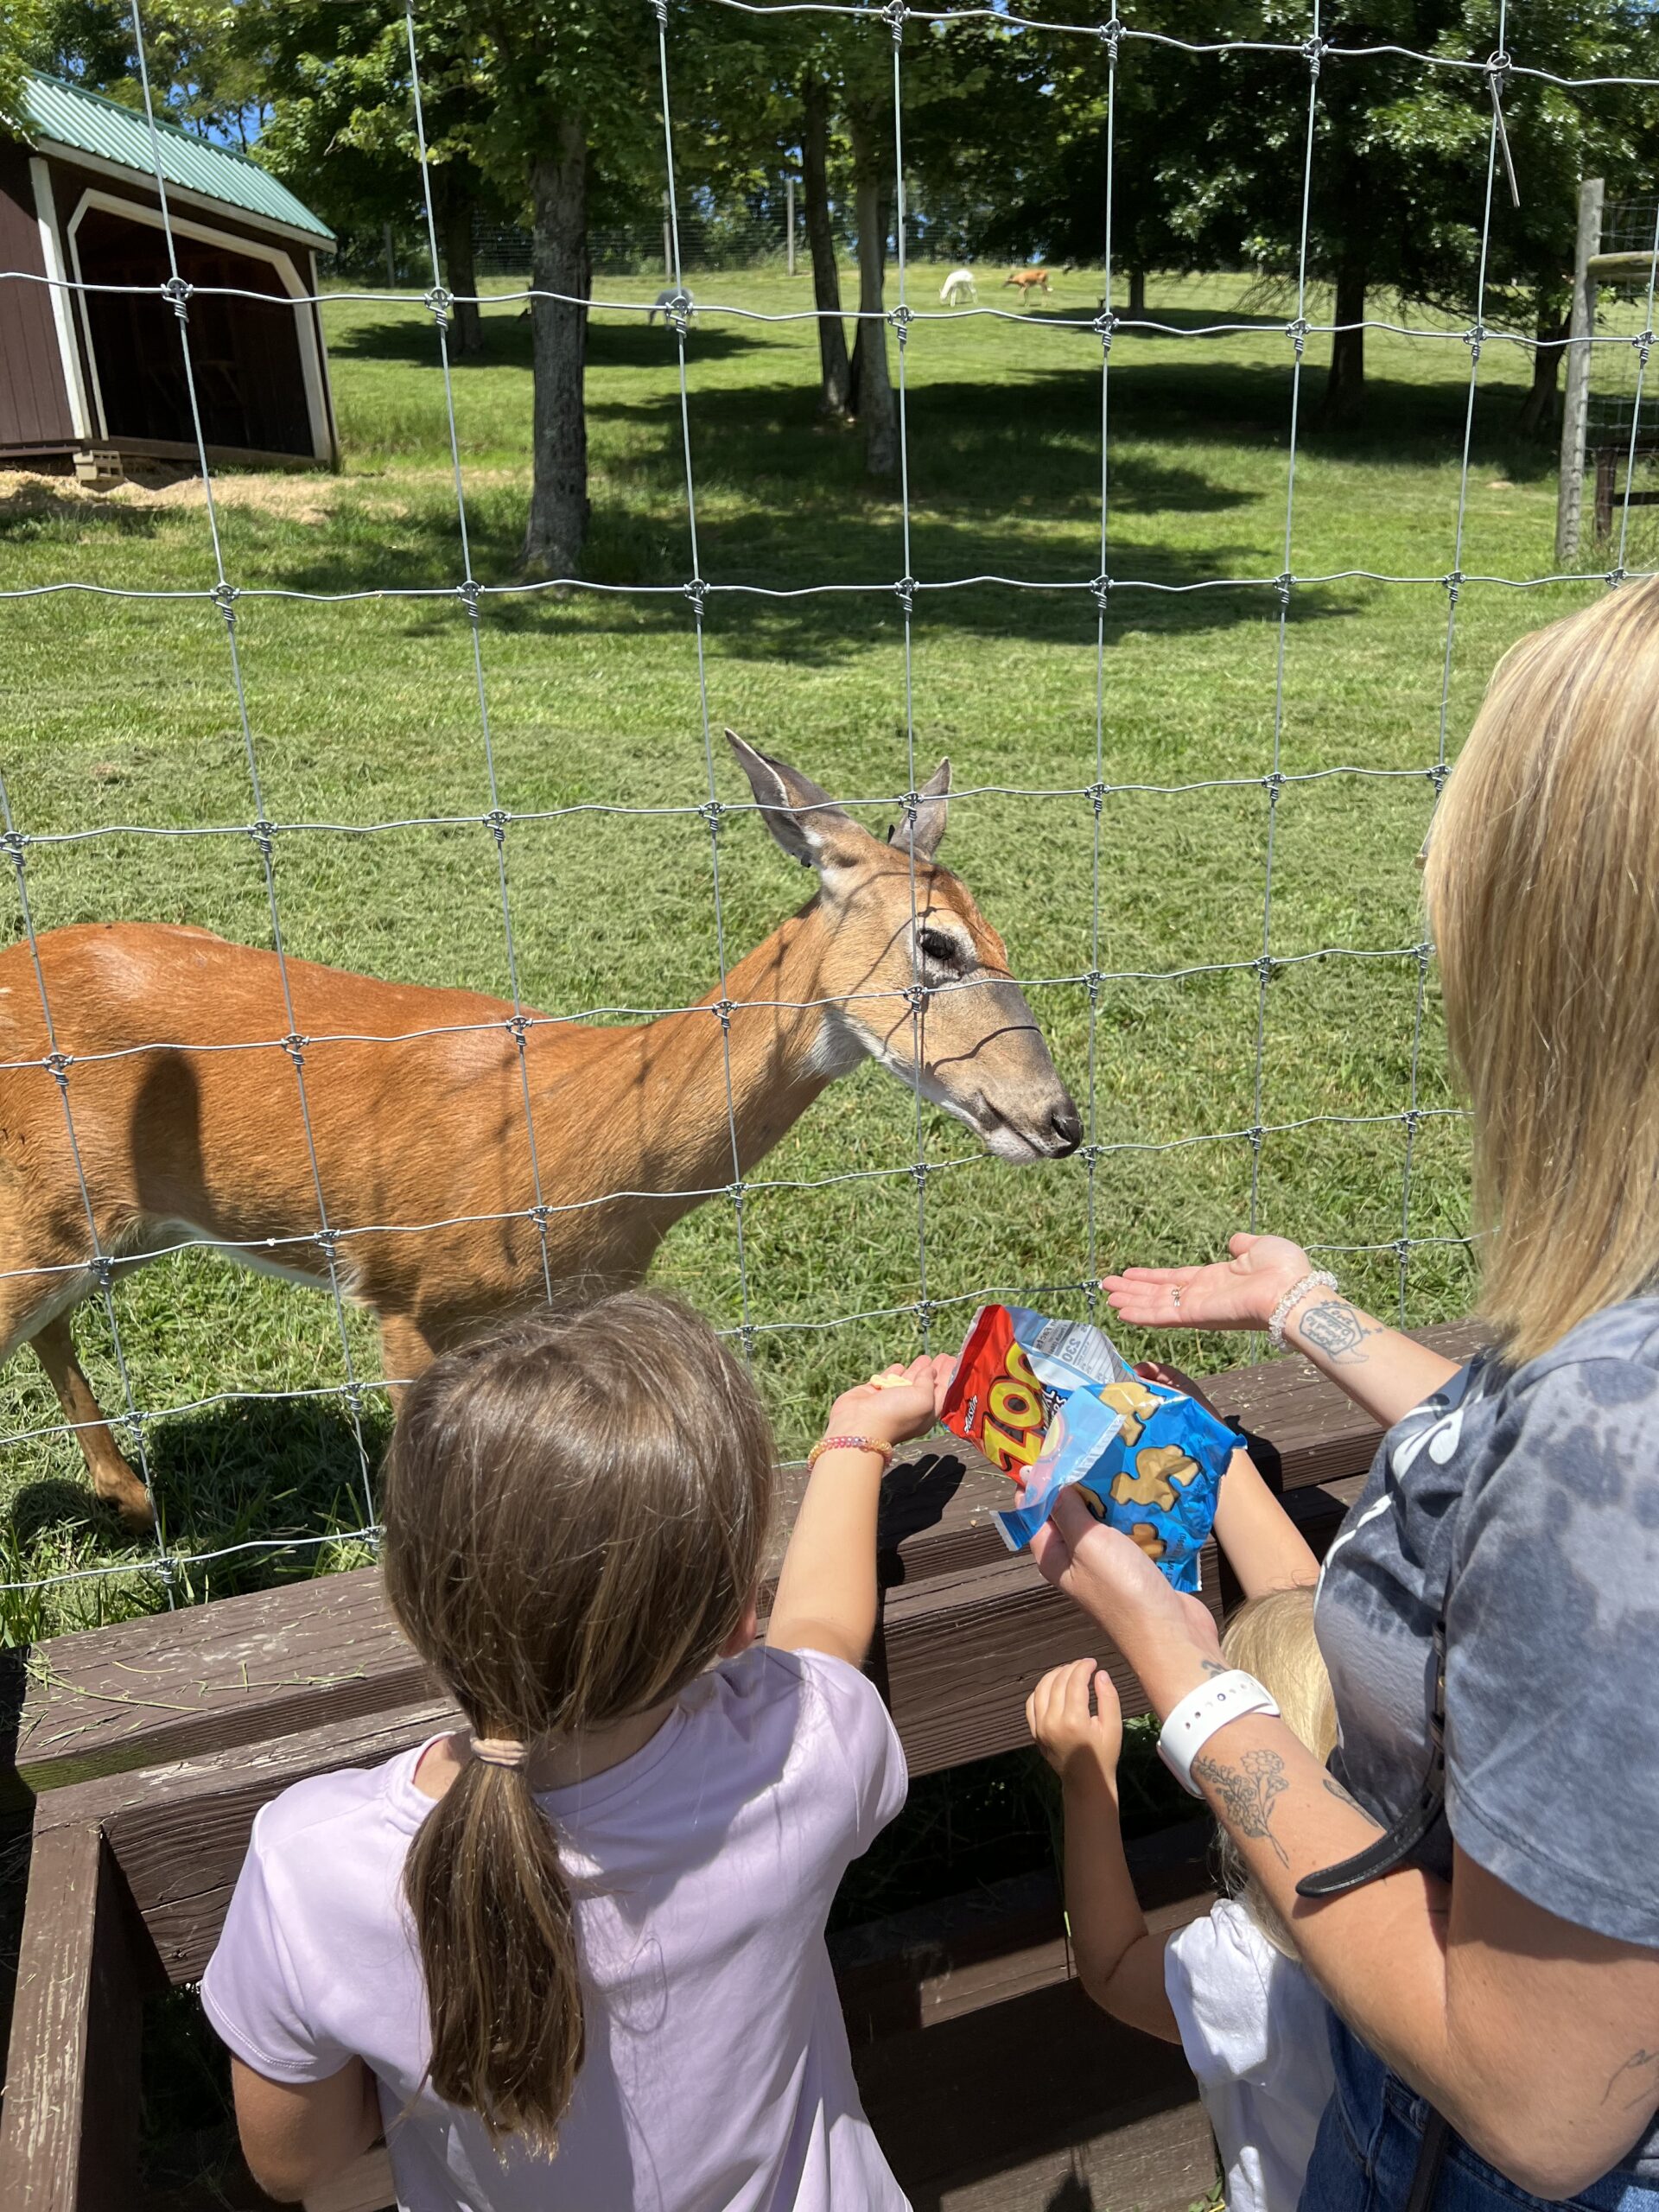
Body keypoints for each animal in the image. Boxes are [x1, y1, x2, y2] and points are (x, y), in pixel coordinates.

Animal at [3, 734, 1092, 1530]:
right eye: (937, 942)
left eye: (1001, 936)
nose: (1061, 1120)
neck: (577, 1149)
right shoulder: (407, 1290)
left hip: (127, 1223)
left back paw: (132, 1496)